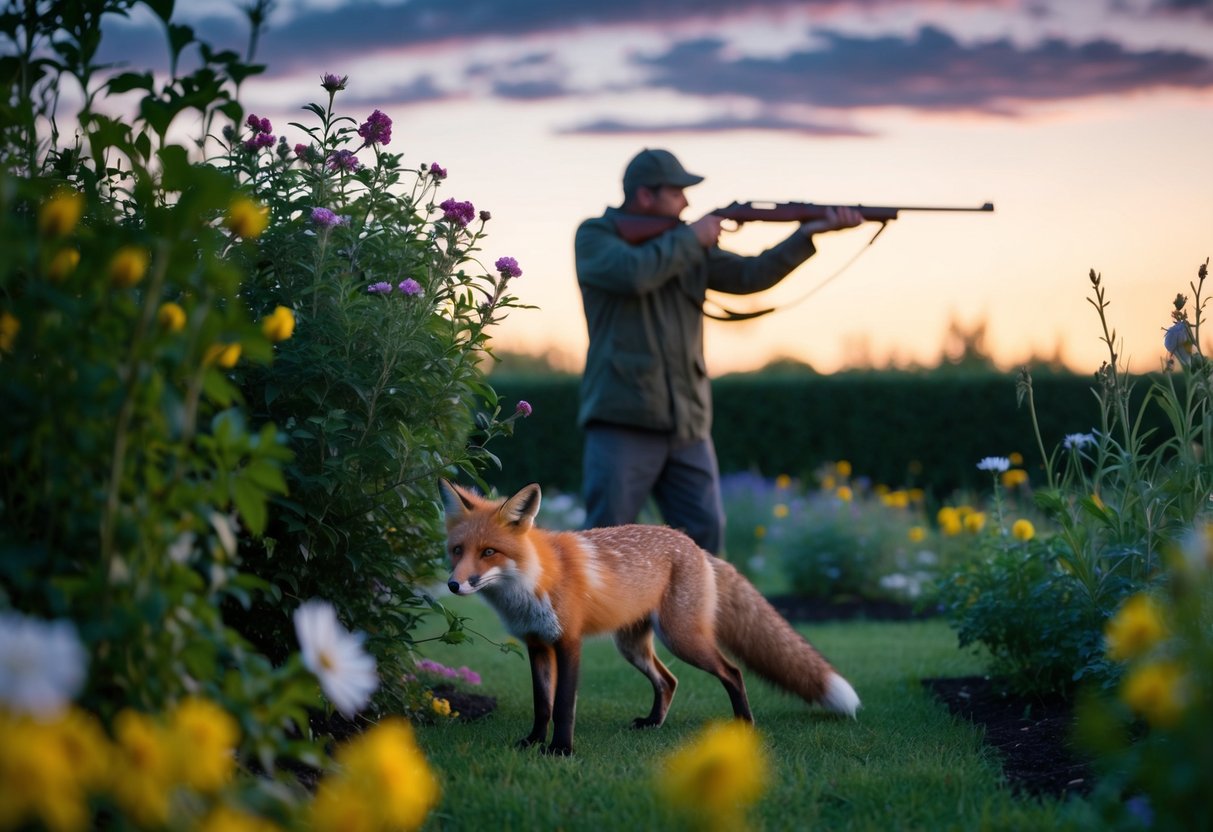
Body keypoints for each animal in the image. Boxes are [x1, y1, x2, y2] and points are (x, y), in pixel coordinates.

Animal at [441, 480, 860, 756]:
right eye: (457, 550)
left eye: (489, 552)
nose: (453, 585)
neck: (532, 581)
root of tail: (696, 546)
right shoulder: (537, 643)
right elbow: (541, 704)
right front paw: (532, 742)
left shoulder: (569, 642)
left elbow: (562, 706)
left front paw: (561, 750)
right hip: (632, 645)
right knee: (669, 680)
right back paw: (653, 723)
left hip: (683, 639)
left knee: (732, 671)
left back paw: (744, 726)